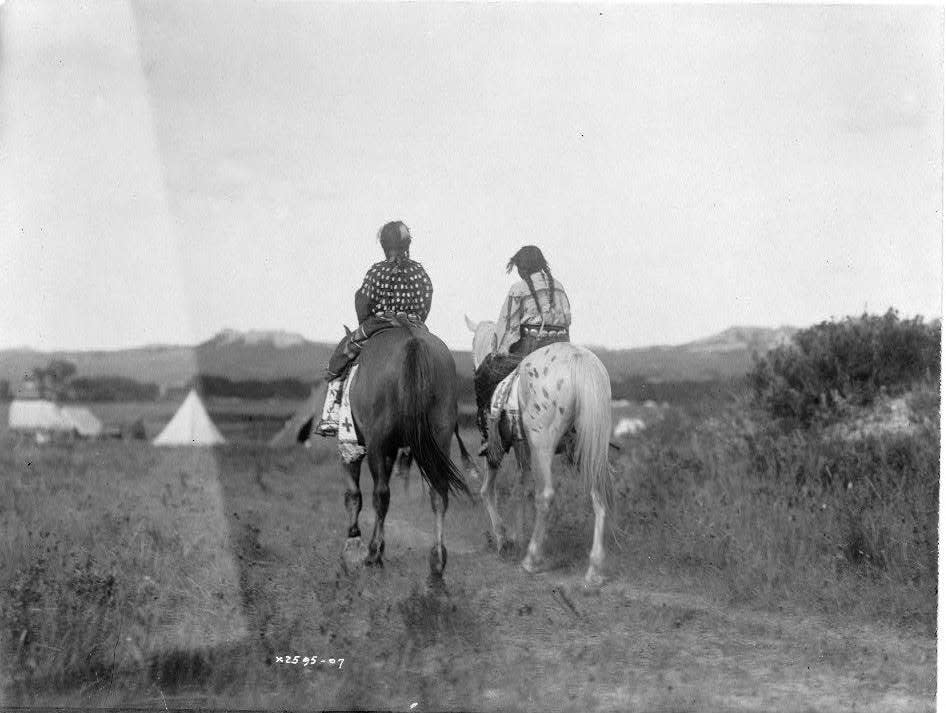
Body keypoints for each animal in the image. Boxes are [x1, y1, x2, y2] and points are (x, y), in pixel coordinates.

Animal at [342, 320, 468, 580]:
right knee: (438, 493)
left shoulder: (356, 445)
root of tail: (412, 343)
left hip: (377, 443)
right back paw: (437, 560)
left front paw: (354, 543)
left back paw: (373, 554)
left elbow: (354, 494)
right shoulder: (390, 451)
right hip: (440, 436)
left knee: (381, 495)